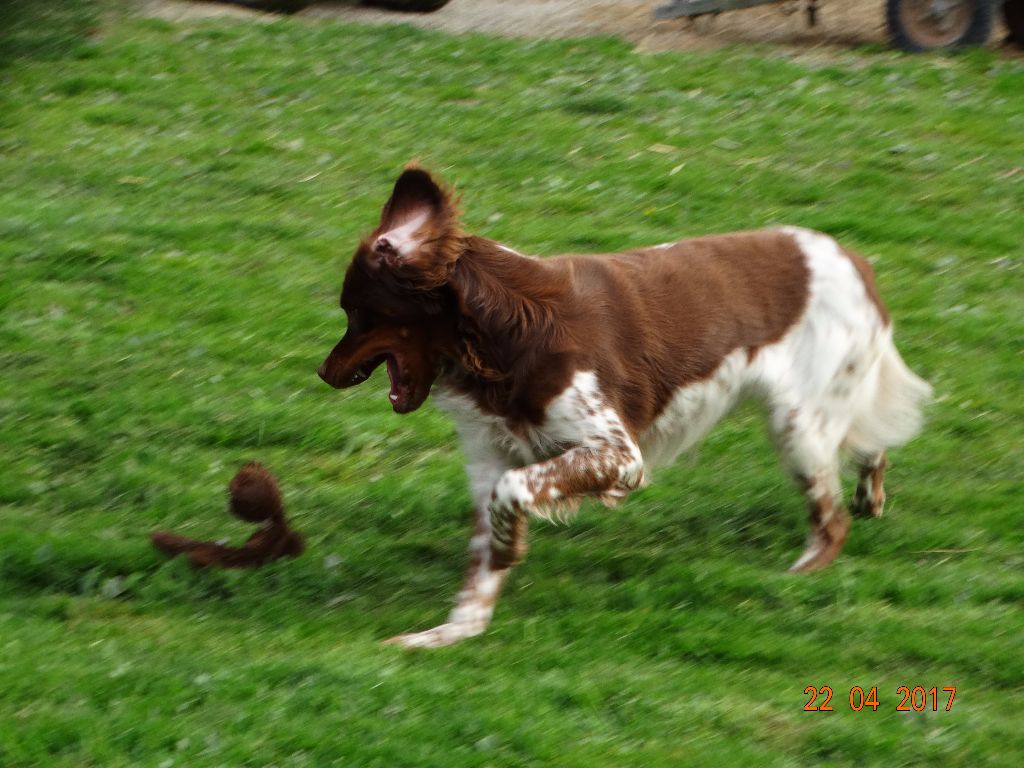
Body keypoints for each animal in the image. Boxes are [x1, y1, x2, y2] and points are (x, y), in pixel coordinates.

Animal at [318, 165, 932, 648]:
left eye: (357, 313)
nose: (323, 373)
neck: (502, 337)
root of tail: (853, 258)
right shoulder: (488, 456)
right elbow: (482, 559)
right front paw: (449, 632)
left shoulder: (617, 453)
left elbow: (513, 491)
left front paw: (510, 544)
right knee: (869, 449)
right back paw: (869, 498)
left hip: (797, 426)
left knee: (830, 523)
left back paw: (797, 576)